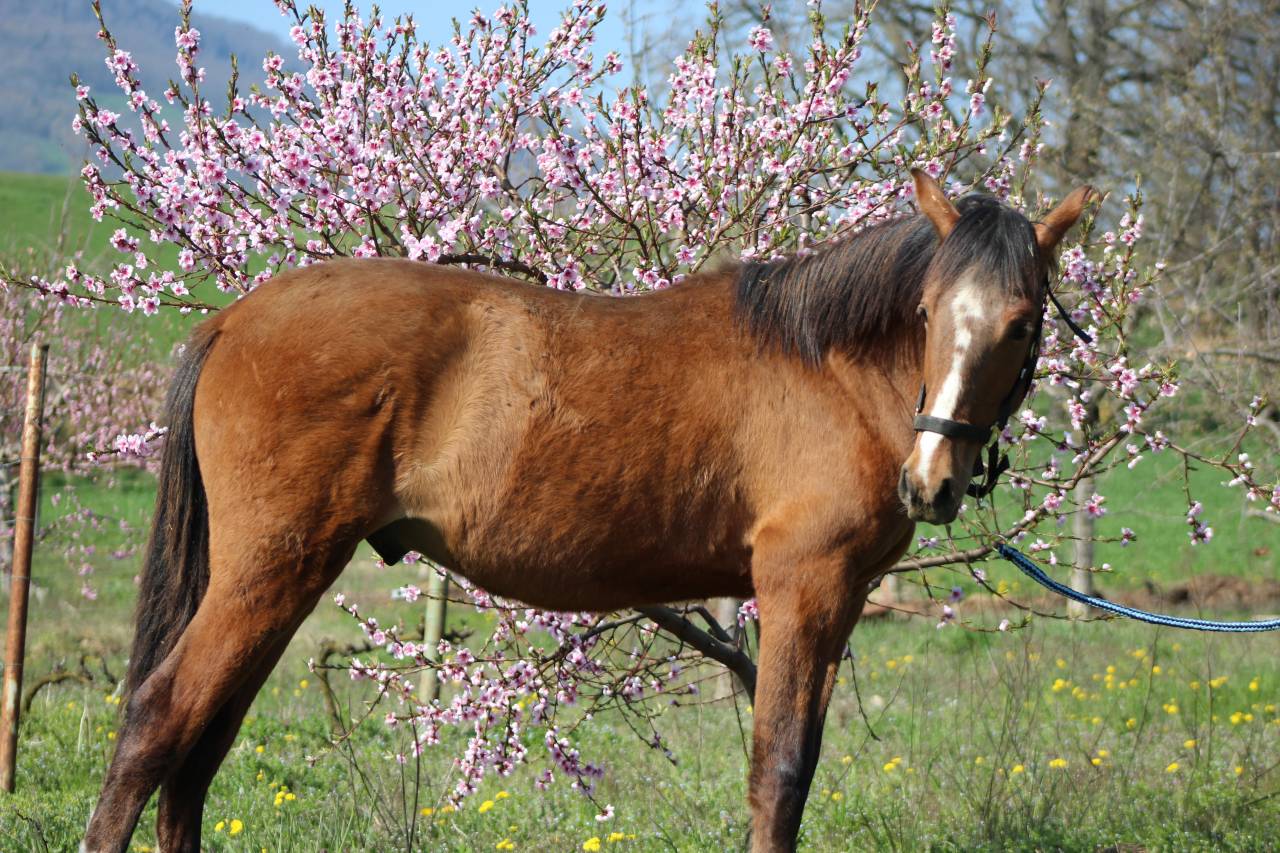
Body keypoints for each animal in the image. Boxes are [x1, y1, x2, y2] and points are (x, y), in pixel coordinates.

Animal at [82, 170, 1092, 852]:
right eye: (926, 311)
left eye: (1023, 322)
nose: (932, 481)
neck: (824, 364)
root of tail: (236, 319)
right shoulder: (804, 589)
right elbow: (778, 771)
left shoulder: (835, 604)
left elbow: (792, 772)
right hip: (270, 571)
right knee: (156, 725)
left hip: (278, 579)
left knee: (197, 753)